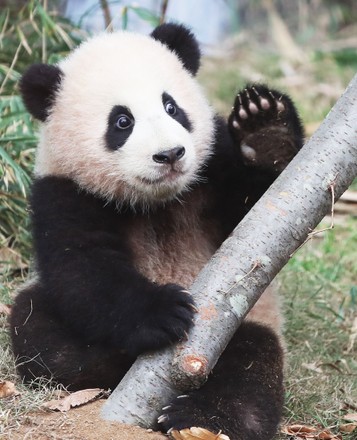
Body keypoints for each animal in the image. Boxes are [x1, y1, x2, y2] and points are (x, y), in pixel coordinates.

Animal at [11, 23, 304, 440]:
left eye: (171, 107)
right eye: (122, 121)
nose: (170, 155)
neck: (157, 201)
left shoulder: (214, 169)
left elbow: (260, 207)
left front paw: (265, 131)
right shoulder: (64, 193)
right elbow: (82, 267)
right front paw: (163, 312)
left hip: (242, 322)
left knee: (251, 366)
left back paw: (201, 418)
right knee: (38, 329)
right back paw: (113, 359)